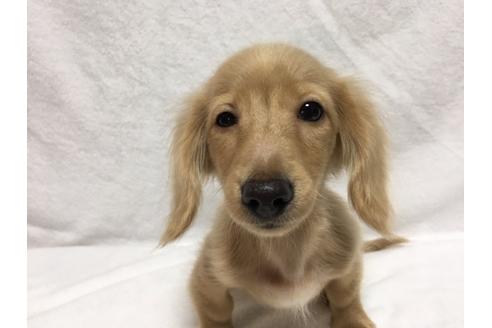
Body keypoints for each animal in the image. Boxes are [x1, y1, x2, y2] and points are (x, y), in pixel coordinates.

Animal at [160, 44, 404, 328]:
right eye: (225, 119)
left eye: (311, 110)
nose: (266, 195)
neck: (285, 250)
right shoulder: (206, 277)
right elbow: (215, 312)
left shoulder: (348, 262)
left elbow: (345, 295)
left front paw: (351, 320)